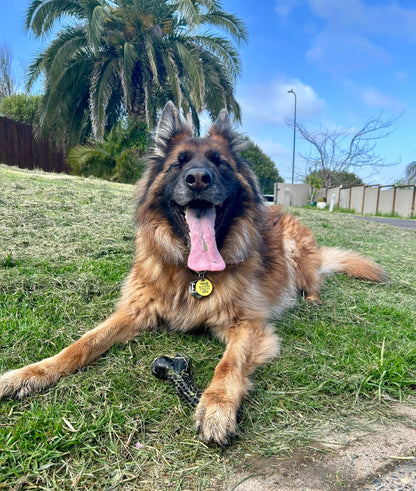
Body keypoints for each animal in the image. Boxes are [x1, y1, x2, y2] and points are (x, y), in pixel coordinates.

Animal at [0, 103, 386, 446]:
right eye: (179, 163)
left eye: (219, 162)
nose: (198, 178)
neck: (193, 271)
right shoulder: (134, 311)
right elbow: (82, 344)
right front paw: (30, 373)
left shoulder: (248, 325)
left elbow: (228, 365)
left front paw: (216, 408)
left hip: (296, 252)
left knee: (312, 282)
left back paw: (312, 299)